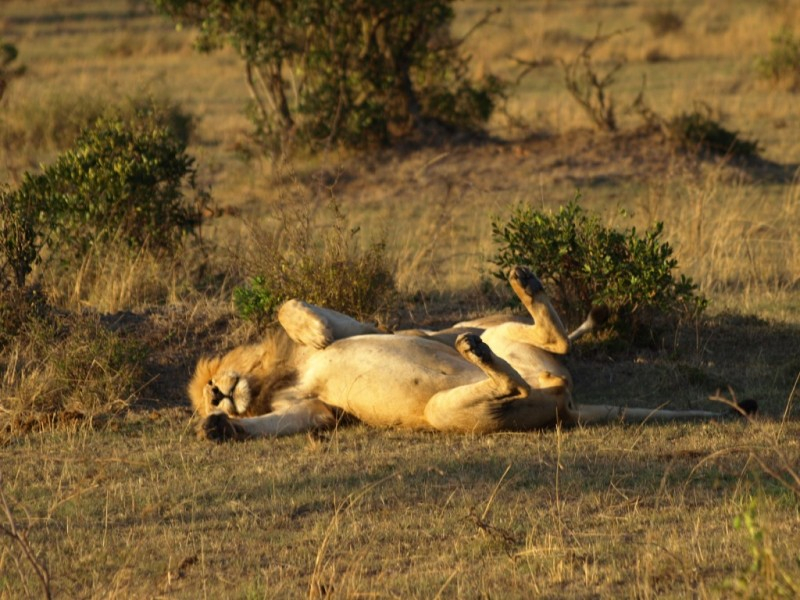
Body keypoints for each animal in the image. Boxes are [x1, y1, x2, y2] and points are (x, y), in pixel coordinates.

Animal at [189, 268, 752, 440]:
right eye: (207, 399)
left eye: (212, 383)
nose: (217, 396)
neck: (274, 379)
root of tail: (570, 406)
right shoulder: (319, 412)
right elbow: (286, 421)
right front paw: (220, 429)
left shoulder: (362, 324)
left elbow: (291, 305)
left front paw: (310, 330)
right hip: (455, 407)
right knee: (524, 379)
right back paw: (480, 346)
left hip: (491, 340)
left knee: (555, 345)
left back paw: (520, 287)